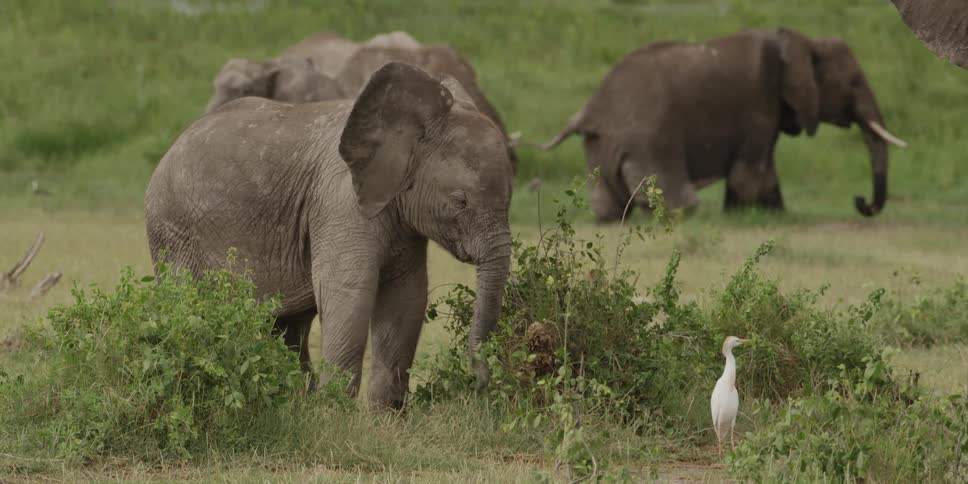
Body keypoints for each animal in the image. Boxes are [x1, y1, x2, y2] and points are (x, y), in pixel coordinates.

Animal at [145, 63, 514, 409]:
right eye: (460, 201)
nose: (479, 380)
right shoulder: (339, 202)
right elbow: (348, 290)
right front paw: (336, 413)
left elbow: (407, 297)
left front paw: (385, 417)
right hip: (173, 233)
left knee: (288, 327)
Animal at [540, 28, 907, 222]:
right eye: (853, 83)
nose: (860, 201)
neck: (799, 41)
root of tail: (588, 111)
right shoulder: (758, 106)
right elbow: (751, 172)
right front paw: (742, 216)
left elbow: (765, 173)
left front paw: (773, 216)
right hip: (647, 140)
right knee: (682, 201)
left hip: (597, 145)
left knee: (607, 207)